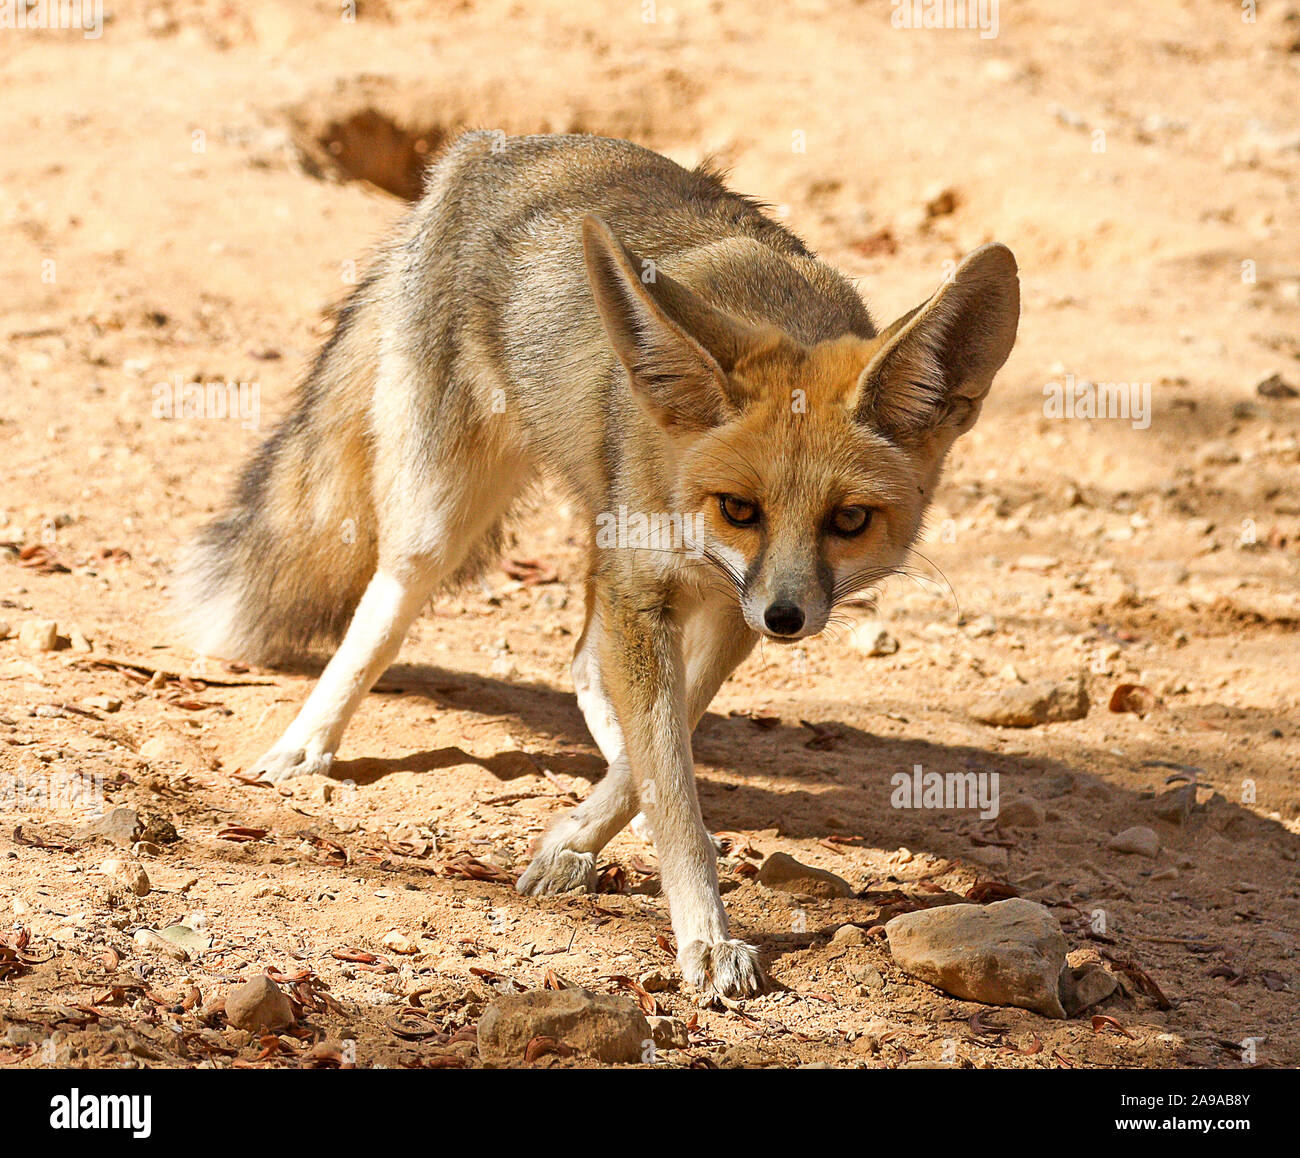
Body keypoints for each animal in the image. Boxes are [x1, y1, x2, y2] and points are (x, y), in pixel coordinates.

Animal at [178, 133, 1019, 1003]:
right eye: (740, 508)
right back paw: (308, 742)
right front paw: (704, 934)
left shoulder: (725, 607)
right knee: (387, 607)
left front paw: (587, 836)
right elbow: (672, 781)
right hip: (443, 515)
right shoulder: (651, 589)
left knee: (587, 666)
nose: (788, 618)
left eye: (848, 520)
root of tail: (485, 149)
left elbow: (669, 744)